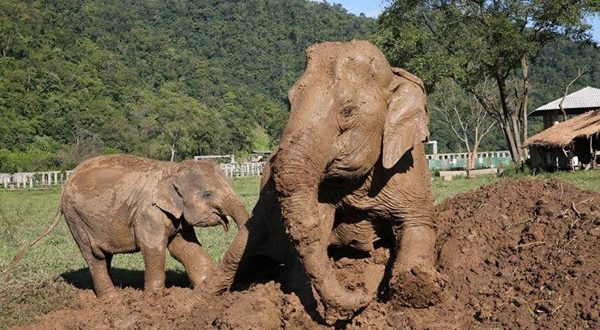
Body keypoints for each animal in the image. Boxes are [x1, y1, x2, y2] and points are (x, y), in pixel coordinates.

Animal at [12, 153, 251, 298]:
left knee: (103, 256)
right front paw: (154, 299)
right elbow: (154, 249)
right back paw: (112, 299)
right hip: (75, 218)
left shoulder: (175, 215)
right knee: (94, 256)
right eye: (207, 194)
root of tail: (64, 186)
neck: (172, 169)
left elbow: (185, 247)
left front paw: (205, 289)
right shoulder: (148, 212)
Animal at [210, 40, 440, 322]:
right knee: (233, 260)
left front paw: (417, 290)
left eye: (349, 110)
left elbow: (418, 224)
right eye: (290, 103)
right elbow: (315, 231)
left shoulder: (410, 168)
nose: (364, 289)